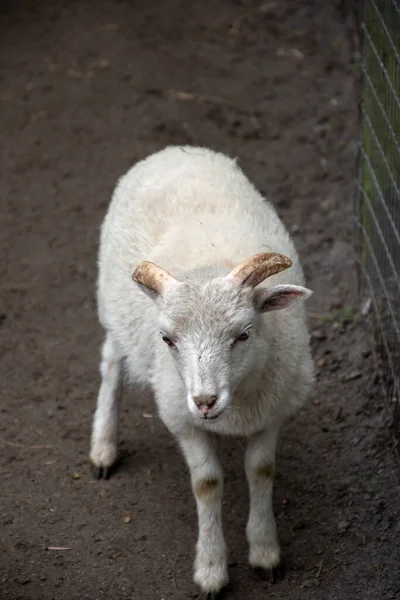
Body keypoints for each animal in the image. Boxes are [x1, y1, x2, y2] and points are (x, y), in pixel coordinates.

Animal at [89, 146, 314, 600]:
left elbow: (261, 471)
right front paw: (211, 569)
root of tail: (176, 150)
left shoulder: (273, 411)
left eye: (244, 334)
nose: (205, 402)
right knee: (112, 361)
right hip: (116, 312)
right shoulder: (182, 419)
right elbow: (207, 484)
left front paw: (265, 551)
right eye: (167, 339)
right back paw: (103, 445)